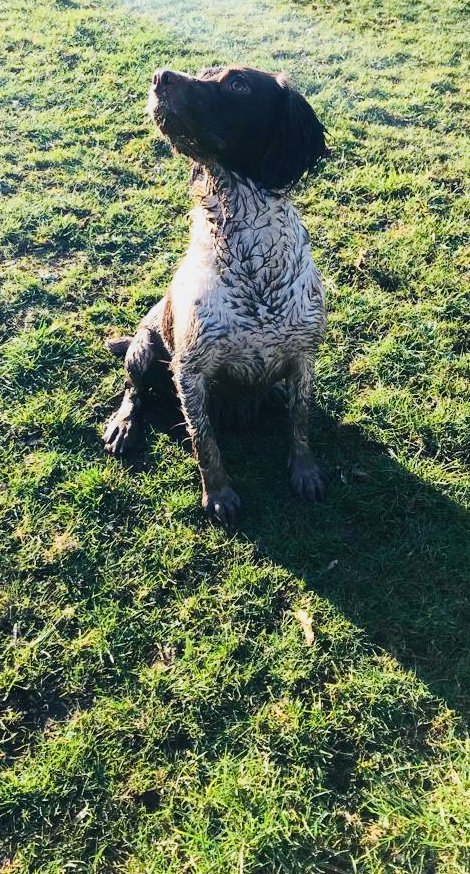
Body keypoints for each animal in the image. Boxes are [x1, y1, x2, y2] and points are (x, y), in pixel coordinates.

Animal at [104, 66, 327, 525]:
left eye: (237, 84)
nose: (159, 75)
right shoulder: (190, 372)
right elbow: (204, 443)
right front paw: (220, 494)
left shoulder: (304, 357)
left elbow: (300, 420)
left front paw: (305, 471)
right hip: (144, 348)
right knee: (134, 390)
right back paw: (123, 425)